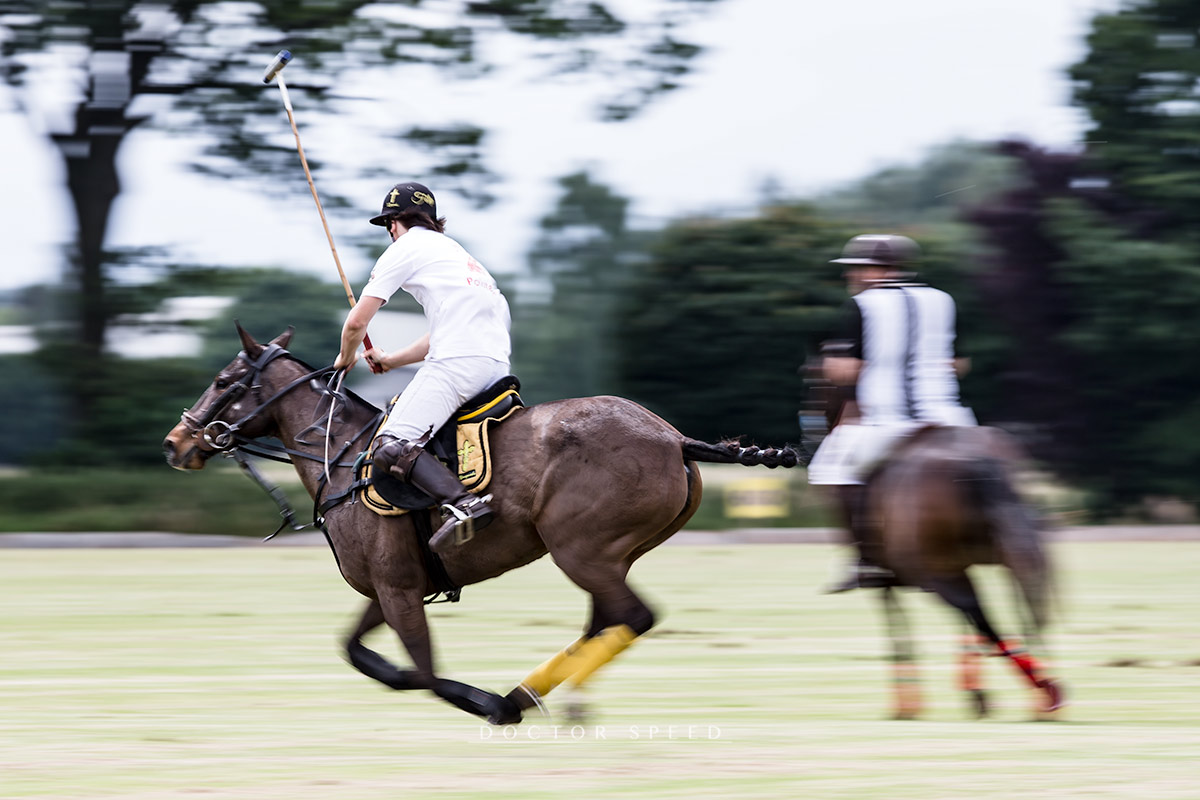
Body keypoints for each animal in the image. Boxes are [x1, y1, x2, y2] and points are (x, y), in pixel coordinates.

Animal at [162, 326, 796, 724]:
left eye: (224, 381)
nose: (176, 443)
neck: (338, 451)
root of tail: (673, 437)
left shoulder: (397, 587)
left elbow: (421, 673)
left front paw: (487, 704)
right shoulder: (390, 587)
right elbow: (361, 654)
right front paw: (495, 701)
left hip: (580, 549)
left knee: (632, 616)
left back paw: (522, 698)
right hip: (610, 555)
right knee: (607, 620)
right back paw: (540, 694)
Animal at [801, 357, 1065, 719]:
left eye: (813, 381)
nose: (809, 431)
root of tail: (973, 458)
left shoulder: (890, 578)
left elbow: (898, 628)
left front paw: (908, 703)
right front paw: (973, 693)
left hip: (938, 571)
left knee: (980, 614)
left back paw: (1042, 688)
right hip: (1007, 549)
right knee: (1019, 605)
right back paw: (1040, 690)